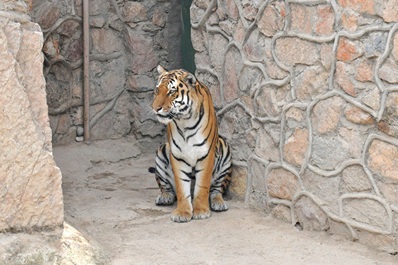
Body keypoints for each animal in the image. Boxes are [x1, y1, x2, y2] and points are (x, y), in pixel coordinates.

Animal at [152, 65, 233, 222]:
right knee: (166, 187)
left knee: (216, 189)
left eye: (171, 91)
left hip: (225, 151)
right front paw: (183, 212)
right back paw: (164, 197)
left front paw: (201, 210)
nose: (155, 108)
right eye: (157, 90)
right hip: (161, 151)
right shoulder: (177, 155)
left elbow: (202, 186)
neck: (184, 122)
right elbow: (182, 188)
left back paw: (219, 203)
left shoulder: (206, 154)